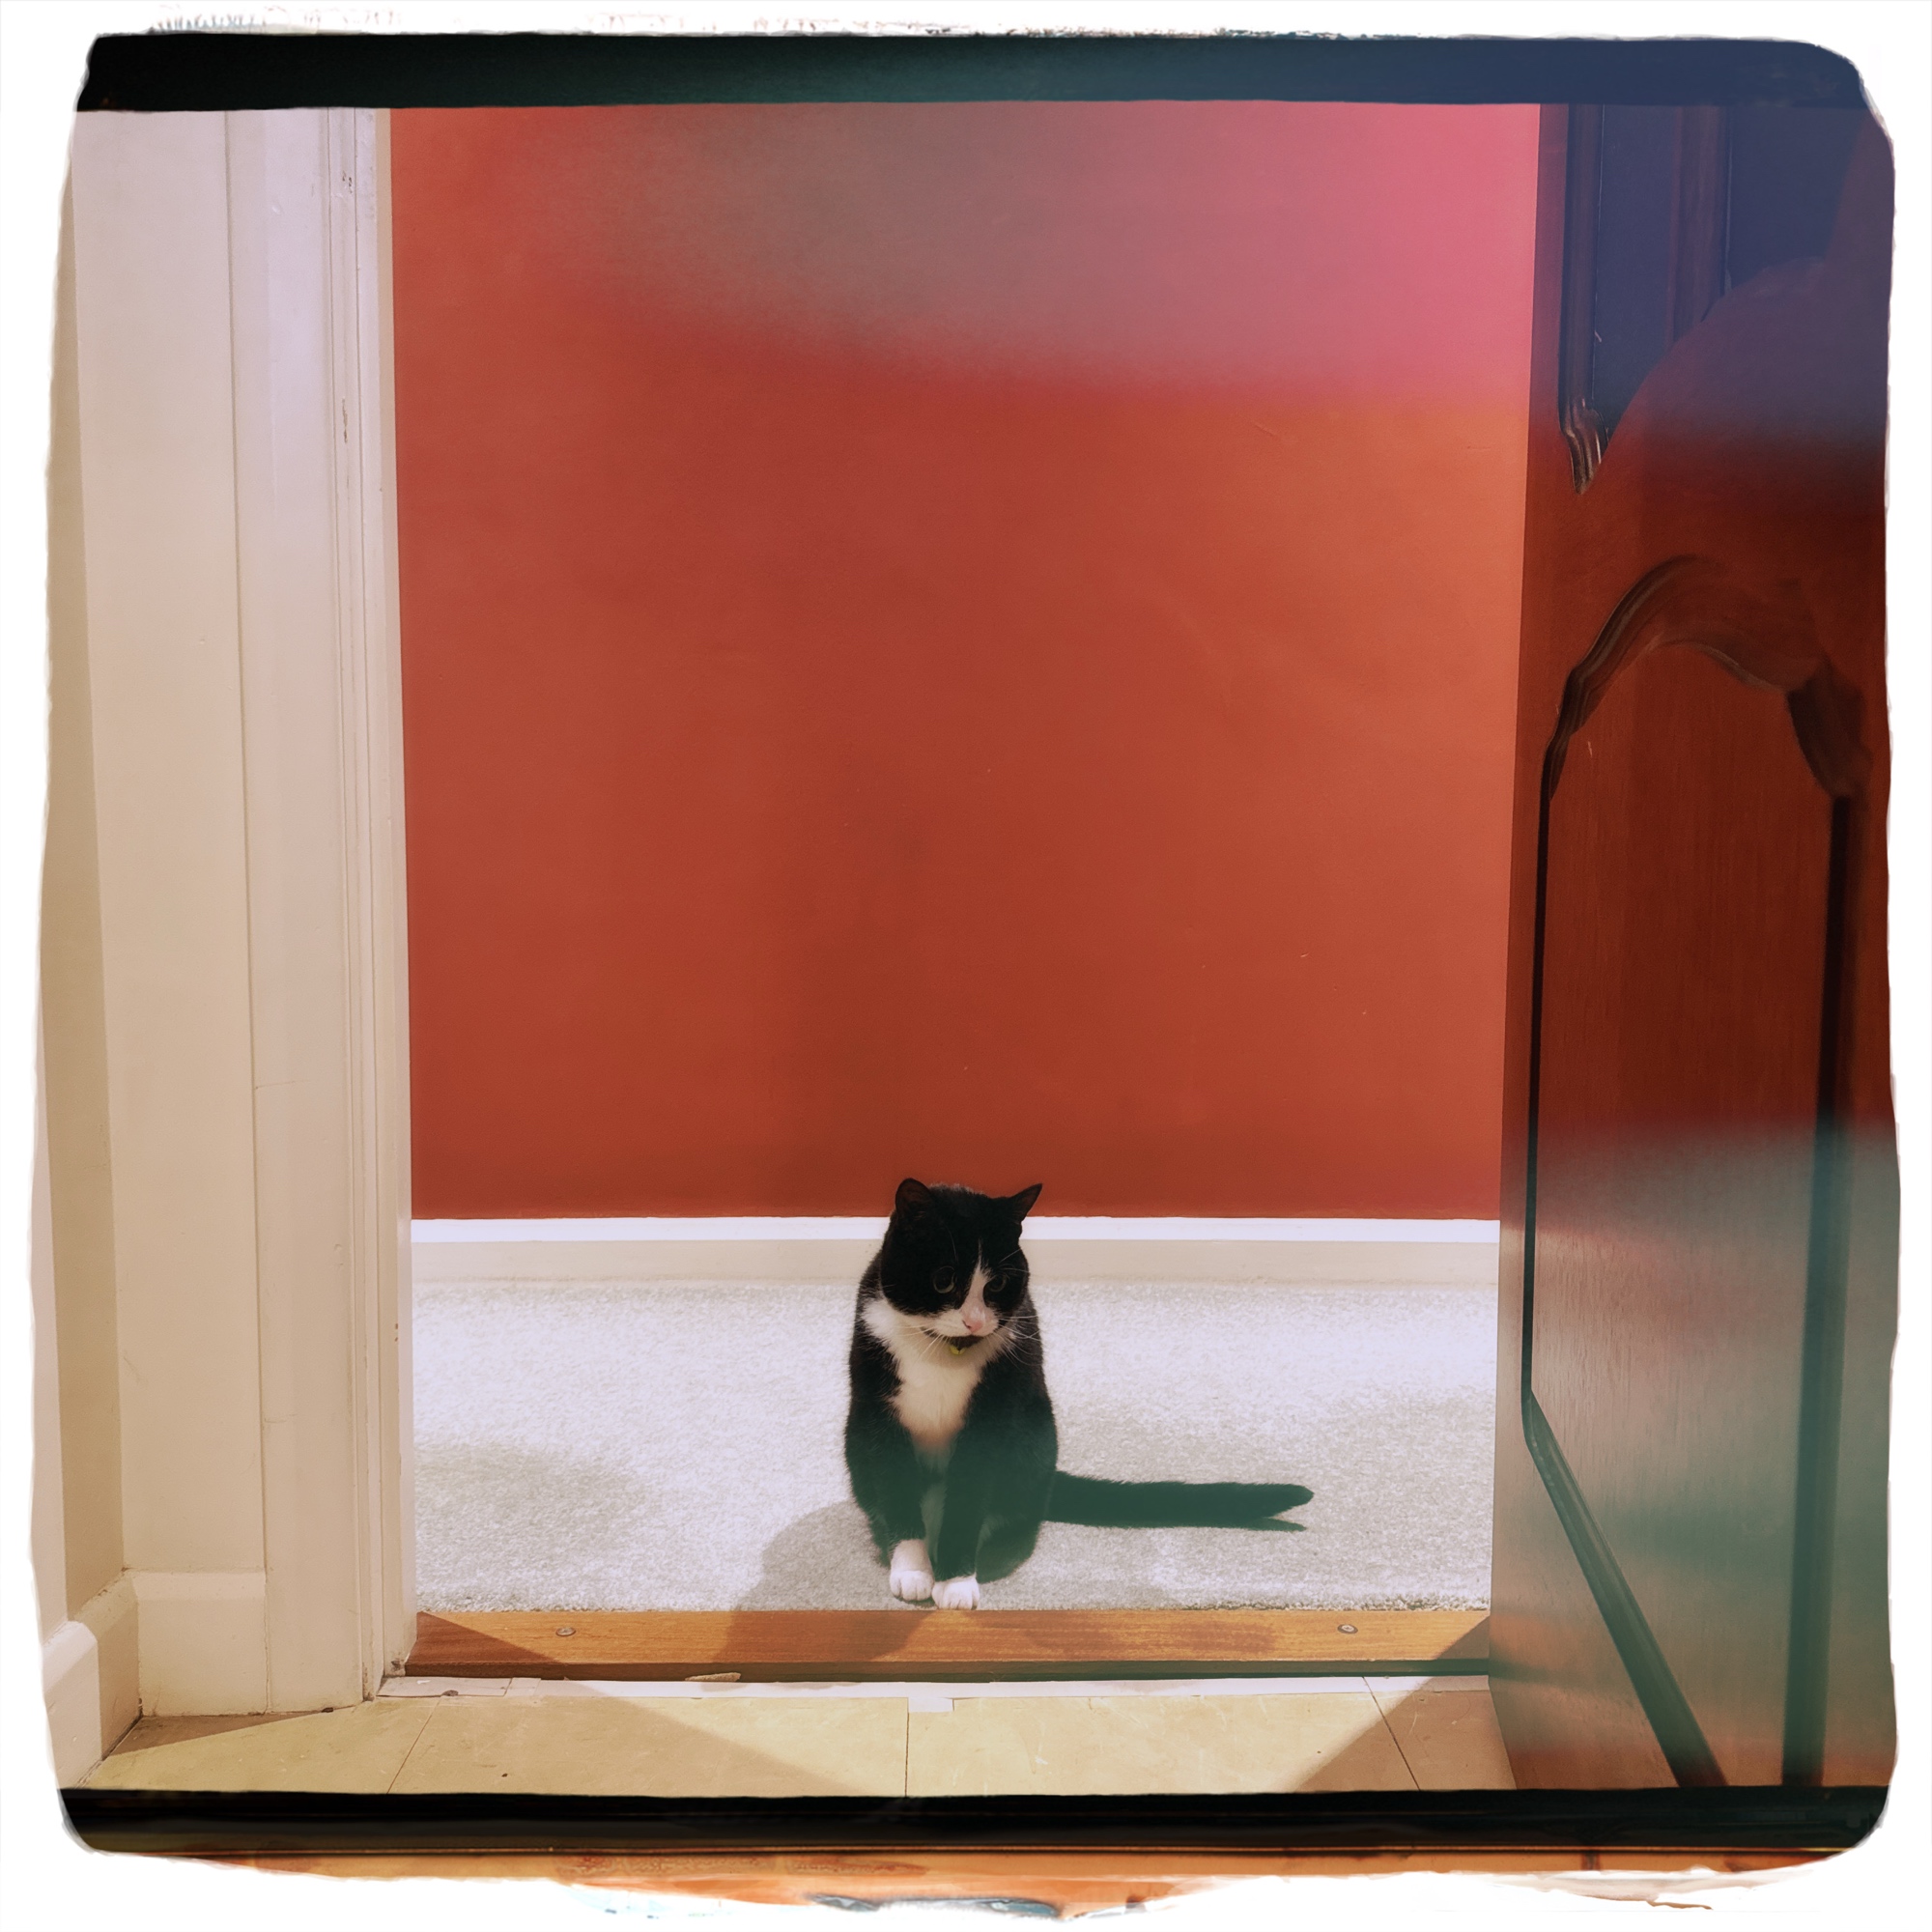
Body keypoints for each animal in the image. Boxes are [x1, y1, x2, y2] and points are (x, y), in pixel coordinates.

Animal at [844, 1177, 1313, 1609]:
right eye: (944, 1280)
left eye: (997, 1286)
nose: (975, 1322)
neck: (943, 1353)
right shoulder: (879, 1414)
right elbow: (896, 1489)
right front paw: (912, 1570)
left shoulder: (992, 1419)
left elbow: (969, 1497)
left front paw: (956, 1581)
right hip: (856, 1436)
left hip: (1032, 1436)